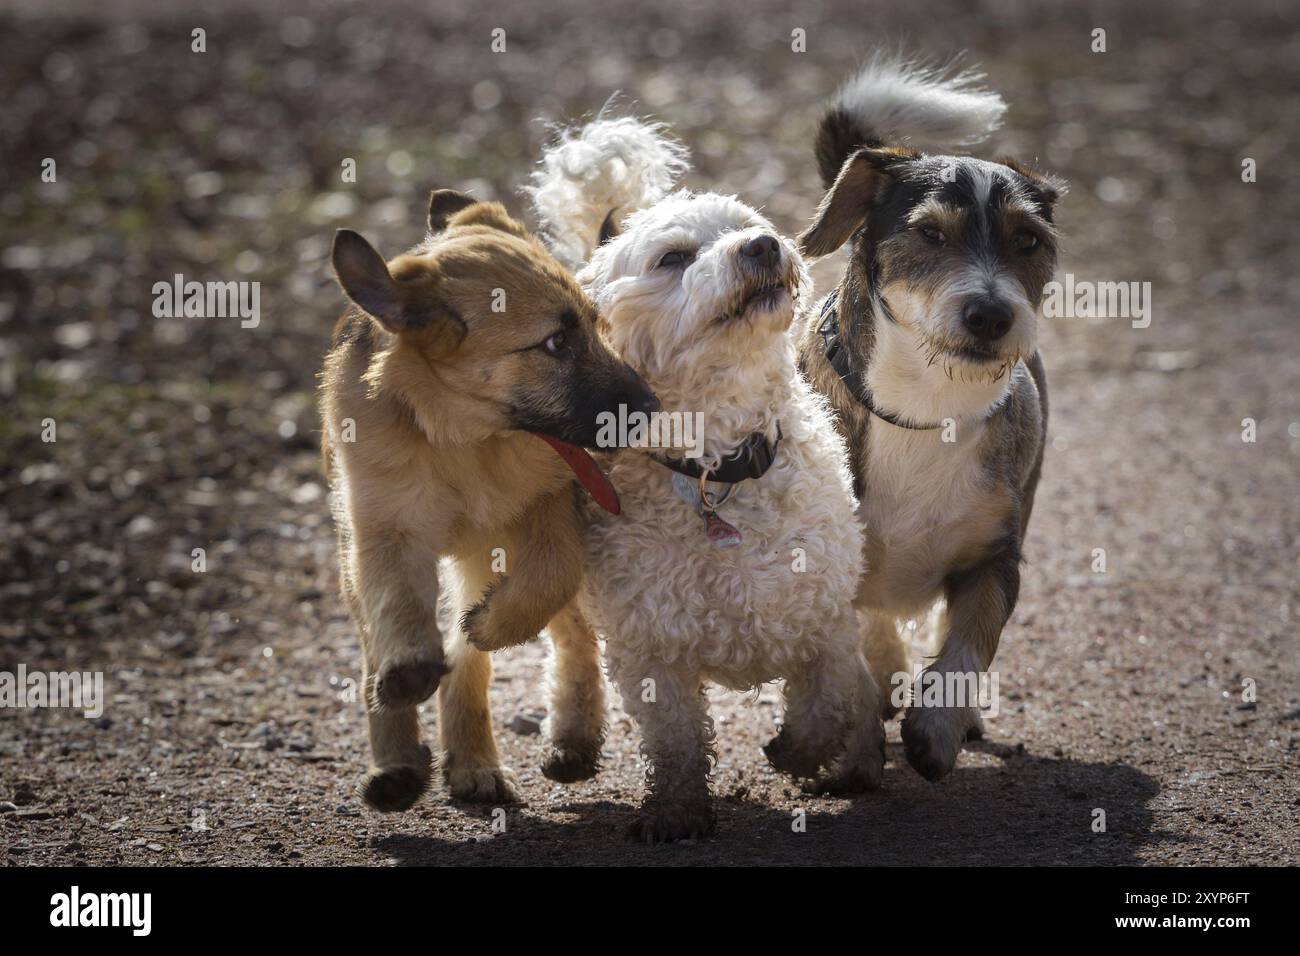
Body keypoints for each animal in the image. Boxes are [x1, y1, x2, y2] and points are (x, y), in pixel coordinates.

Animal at [319, 191, 655, 811]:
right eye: (555, 342)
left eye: (597, 326)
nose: (653, 407)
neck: (464, 440)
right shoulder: (382, 529)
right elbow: (395, 607)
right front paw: (406, 676)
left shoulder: (548, 504)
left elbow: (548, 577)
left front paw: (491, 626)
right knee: (380, 643)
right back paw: (401, 761)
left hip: (486, 554)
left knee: (554, 639)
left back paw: (514, 750)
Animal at [527, 115, 883, 842]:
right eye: (672, 258)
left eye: (748, 225)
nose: (763, 245)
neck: (719, 470)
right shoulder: (651, 651)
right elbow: (674, 740)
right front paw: (676, 811)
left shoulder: (826, 619)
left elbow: (826, 703)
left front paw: (799, 751)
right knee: (572, 656)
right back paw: (572, 741)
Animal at [795, 55, 1060, 780]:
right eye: (930, 232)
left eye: (1029, 240)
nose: (991, 315)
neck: (926, 411)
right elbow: (848, 660)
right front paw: (854, 748)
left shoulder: (997, 559)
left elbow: (970, 643)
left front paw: (937, 728)